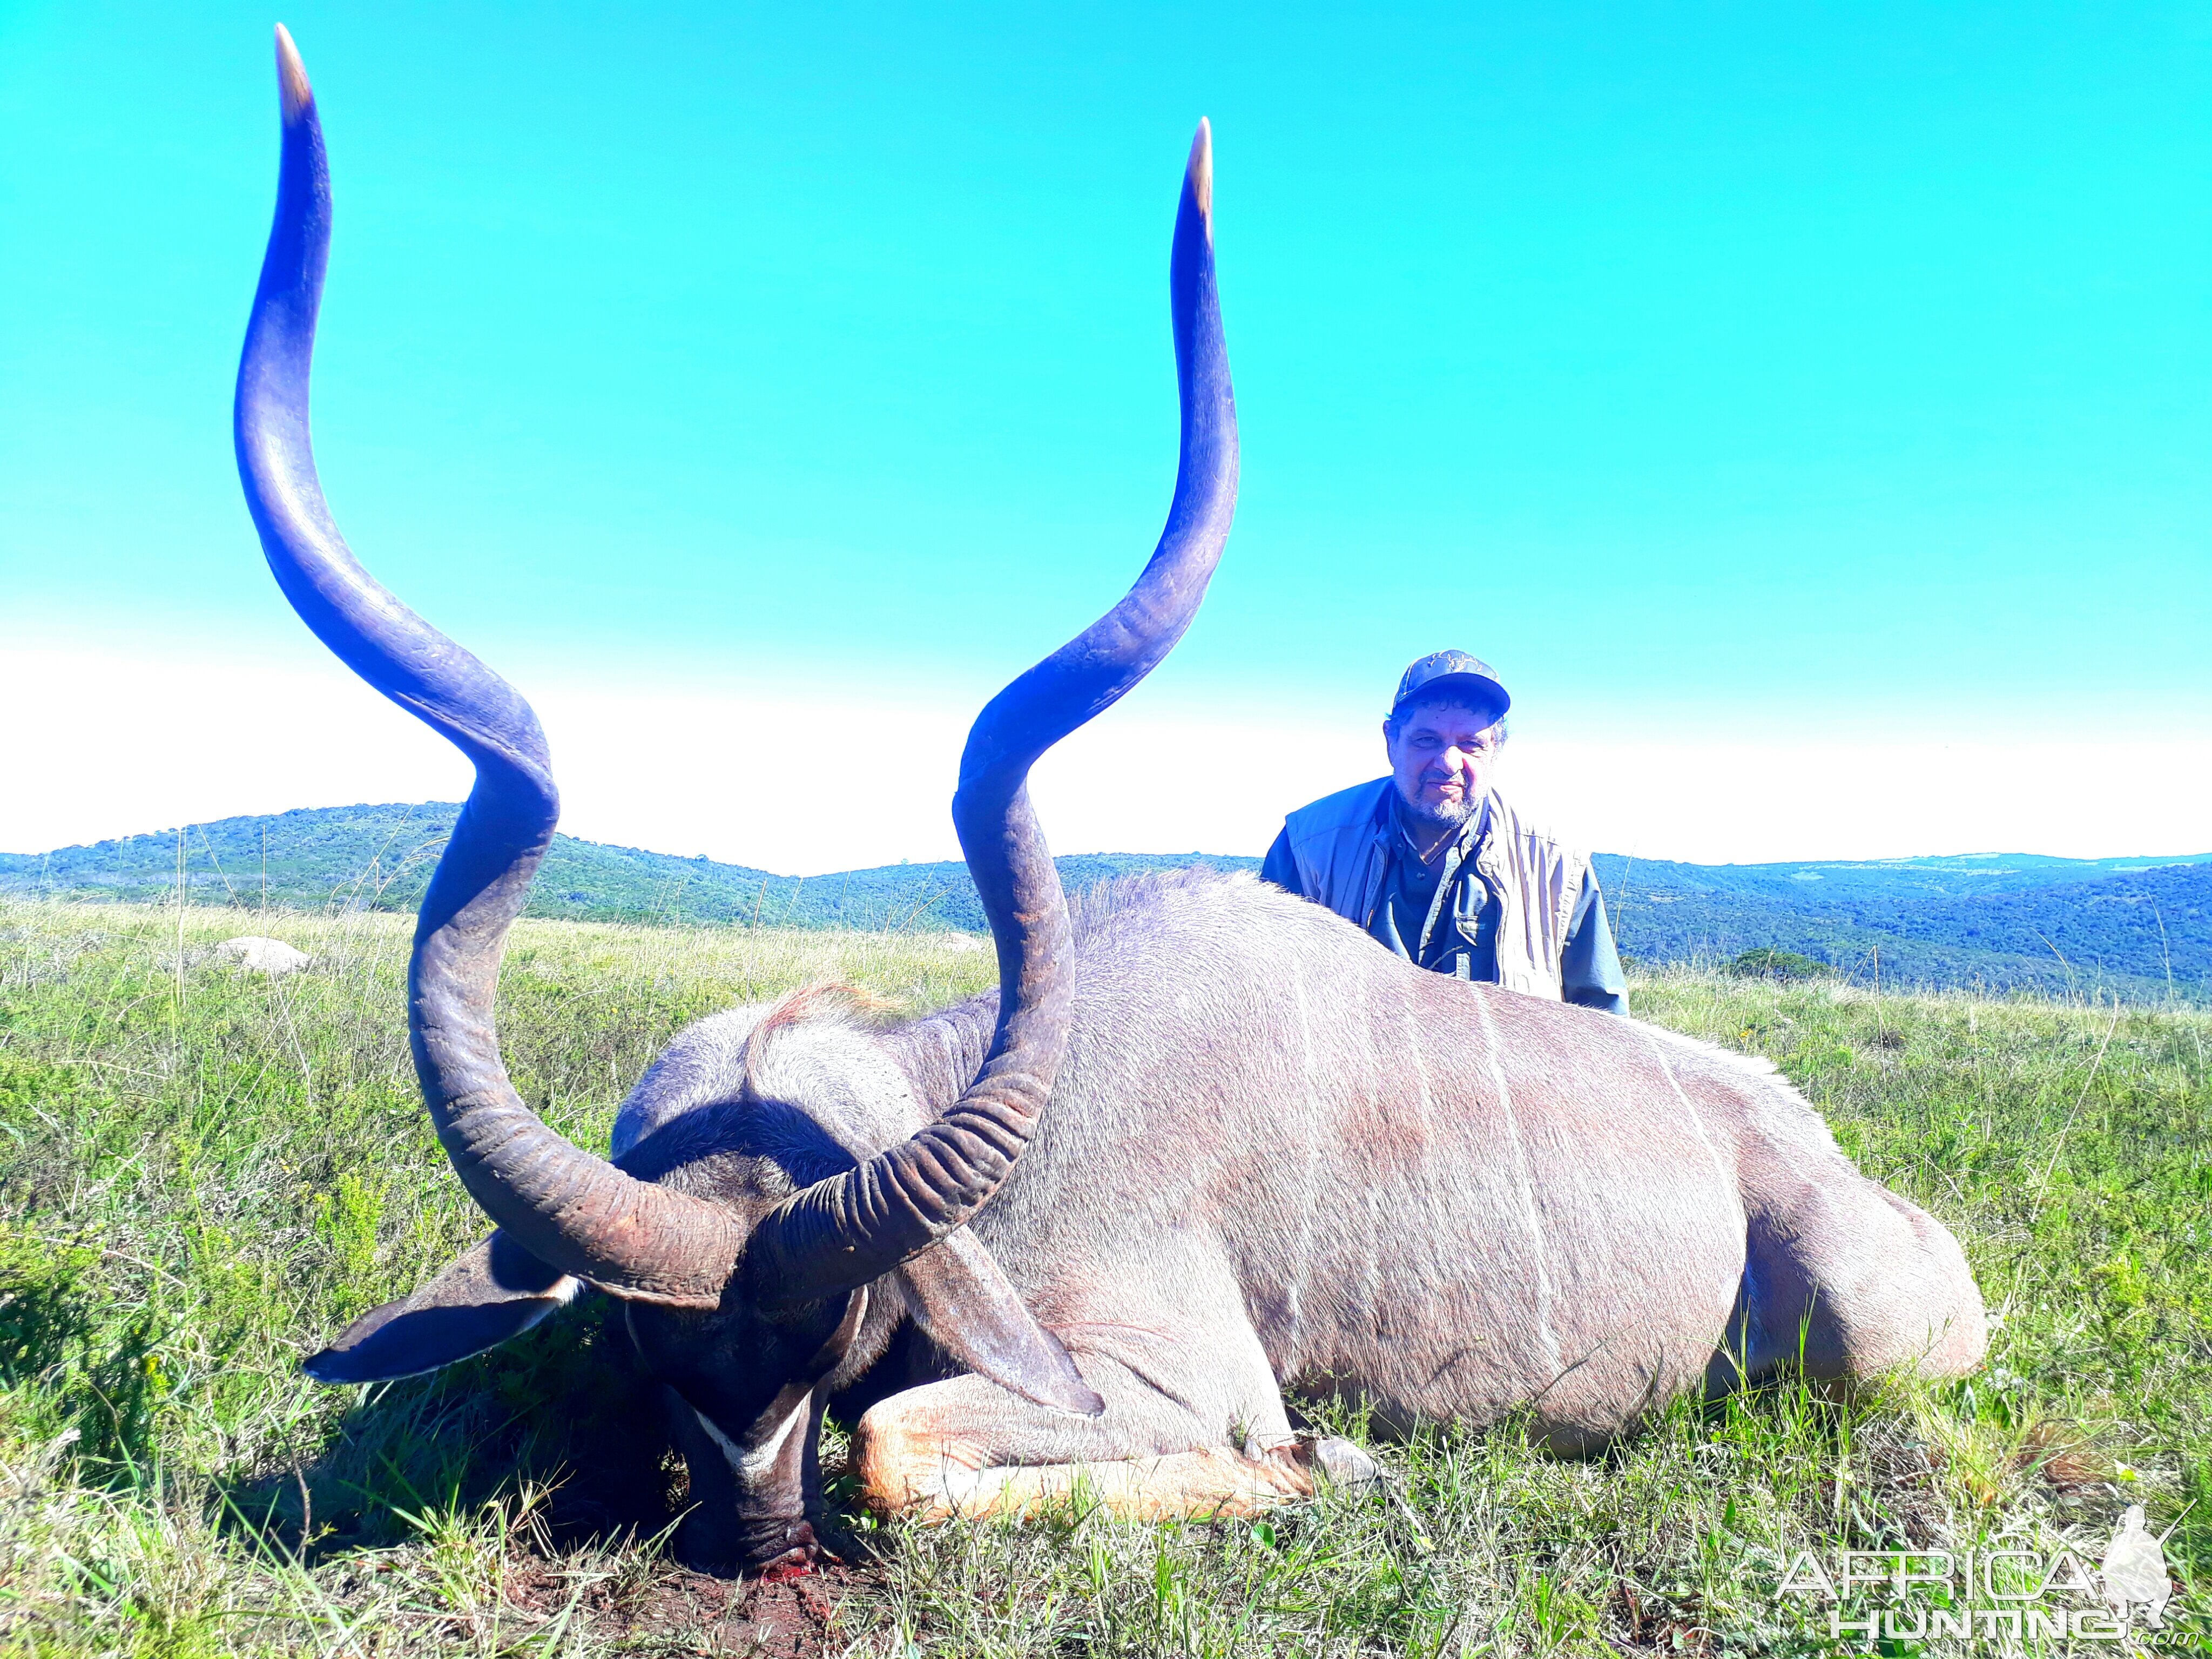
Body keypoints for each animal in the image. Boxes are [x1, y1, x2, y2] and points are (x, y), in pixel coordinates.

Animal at [246, 29, 1991, 1583]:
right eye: (643, 1343)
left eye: (839, 1327)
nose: (756, 1540)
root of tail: (1835, 1164)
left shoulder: (1160, 1371)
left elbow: (905, 1449)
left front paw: (1322, 1458)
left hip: (1869, 1344)